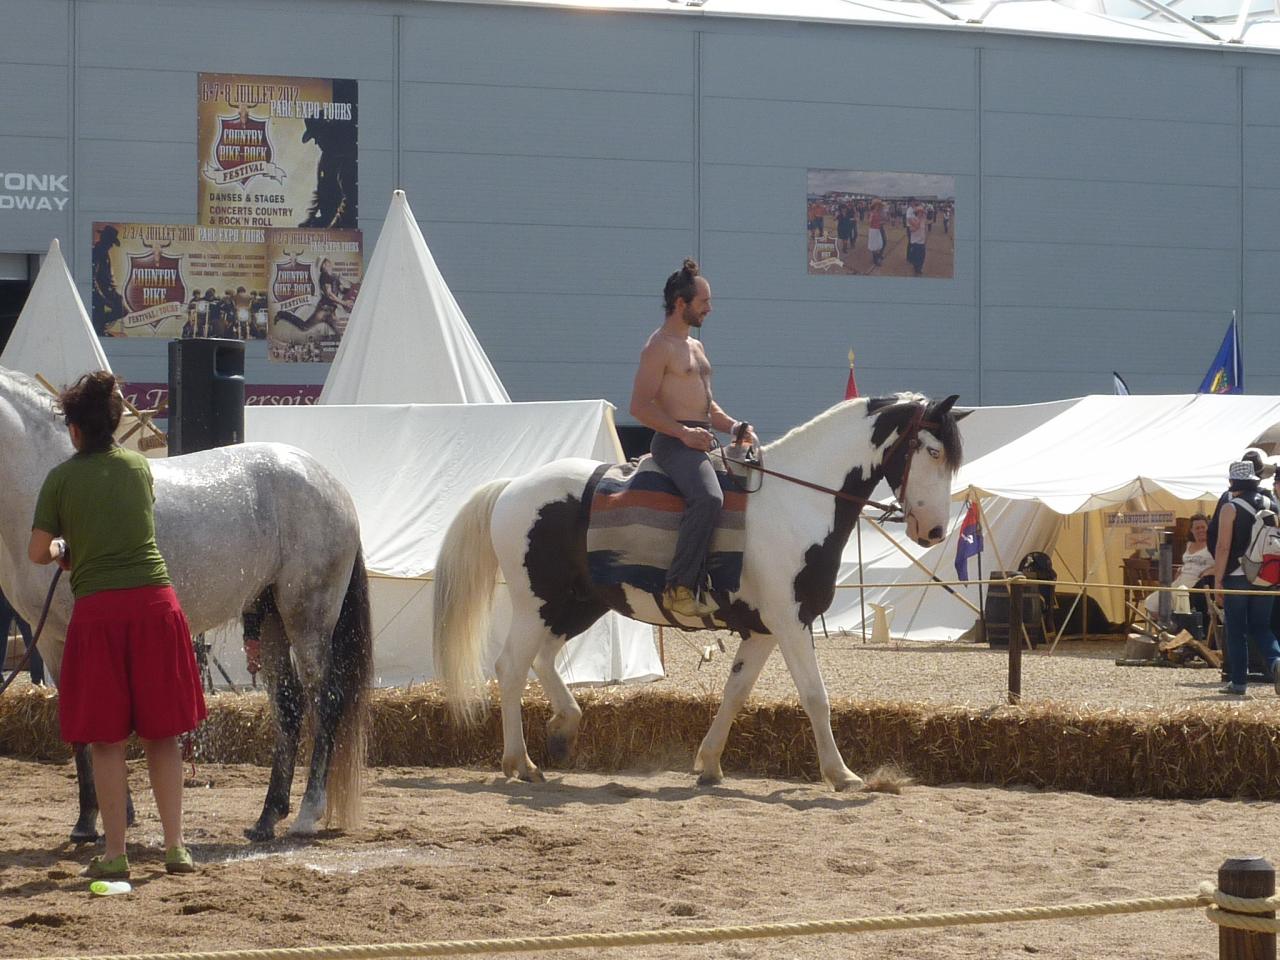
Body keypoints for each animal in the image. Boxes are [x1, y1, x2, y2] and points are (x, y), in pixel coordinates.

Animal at [435, 394, 962, 793]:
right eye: (933, 452)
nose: (936, 531)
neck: (796, 502)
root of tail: (512, 488)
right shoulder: (791, 622)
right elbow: (815, 696)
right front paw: (842, 774)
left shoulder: (764, 630)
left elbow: (736, 692)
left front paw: (709, 764)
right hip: (537, 604)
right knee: (510, 668)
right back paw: (519, 763)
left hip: (579, 604)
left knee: (542, 661)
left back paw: (563, 729)